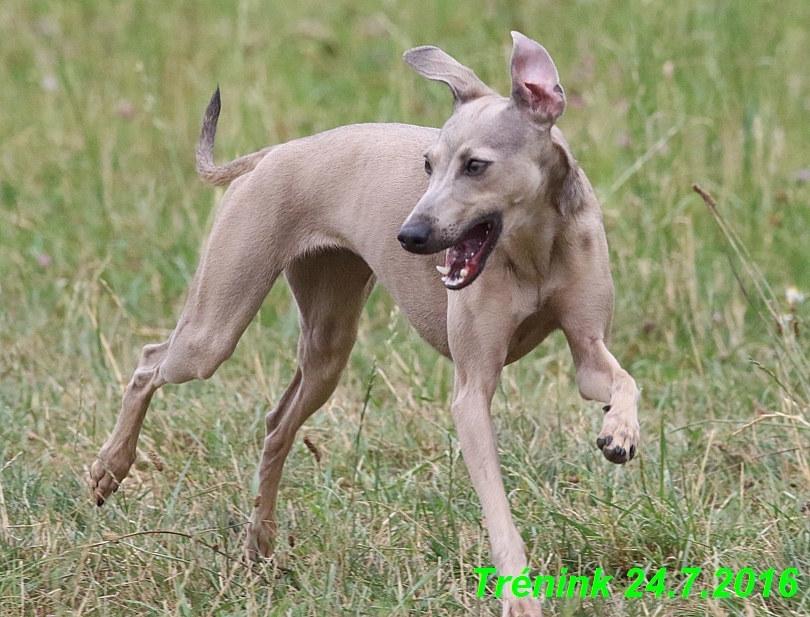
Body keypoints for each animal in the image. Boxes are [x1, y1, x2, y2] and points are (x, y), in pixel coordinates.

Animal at [91, 33, 636, 616]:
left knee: (277, 425)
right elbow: (497, 509)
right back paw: (110, 469)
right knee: (149, 363)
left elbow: (623, 382)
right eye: (428, 164)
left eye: (475, 165)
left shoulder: (588, 350)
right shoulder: (472, 392)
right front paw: (518, 595)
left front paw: (620, 432)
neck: (534, 247)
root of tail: (272, 154)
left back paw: (259, 545)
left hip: (327, 345)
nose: (410, 235)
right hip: (212, 333)